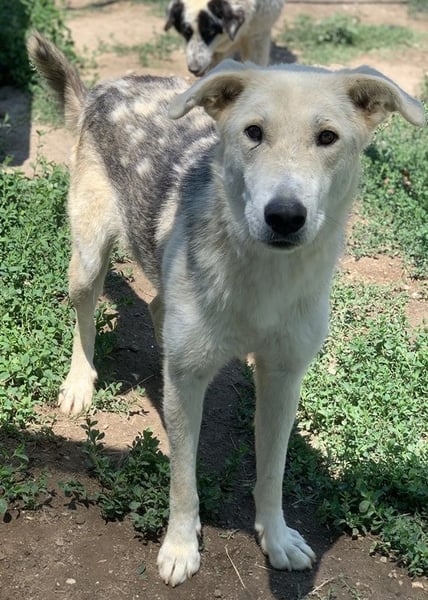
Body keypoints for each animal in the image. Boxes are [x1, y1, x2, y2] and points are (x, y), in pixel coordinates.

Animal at [28, 32, 424, 587]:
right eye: (253, 132)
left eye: (327, 137)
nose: (284, 216)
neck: (264, 277)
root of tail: (107, 87)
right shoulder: (190, 380)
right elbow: (183, 478)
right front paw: (180, 546)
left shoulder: (283, 376)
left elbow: (273, 471)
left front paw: (276, 537)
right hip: (87, 257)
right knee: (85, 316)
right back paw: (80, 383)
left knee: (158, 305)